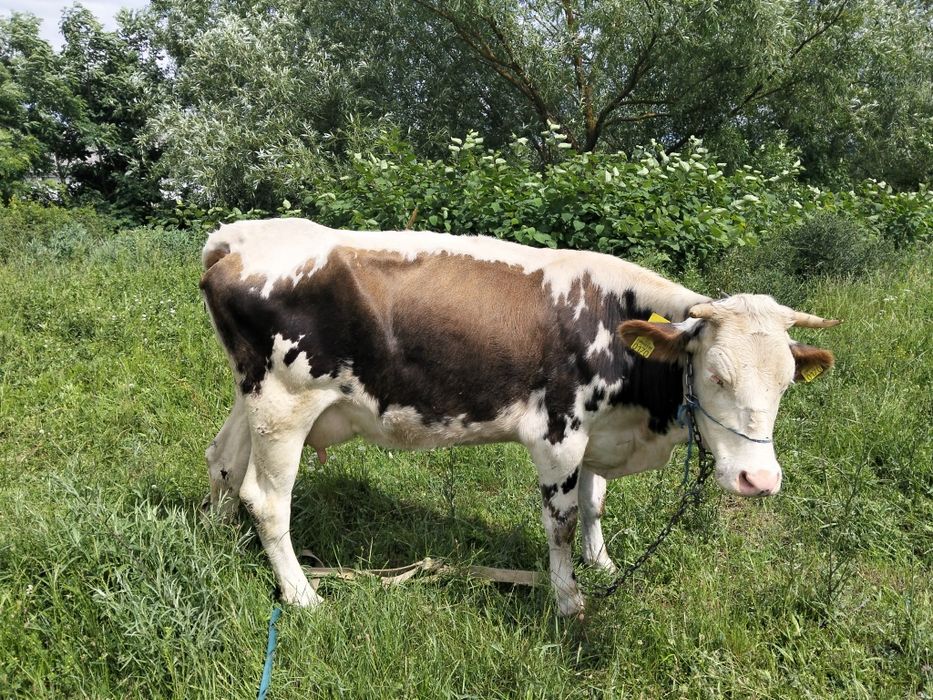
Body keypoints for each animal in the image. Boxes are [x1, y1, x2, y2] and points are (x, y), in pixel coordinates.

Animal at [200, 218, 839, 617]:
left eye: (786, 382)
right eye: (716, 376)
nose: (760, 480)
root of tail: (241, 237)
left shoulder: (597, 429)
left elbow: (594, 504)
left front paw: (601, 563)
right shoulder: (558, 433)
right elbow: (560, 521)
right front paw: (569, 600)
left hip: (253, 397)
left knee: (223, 460)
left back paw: (216, 536)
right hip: (285, 402)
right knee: (266, 498)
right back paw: (302, 595)